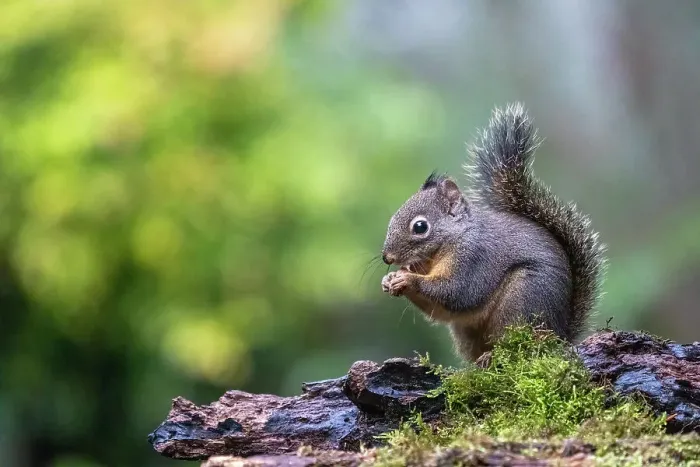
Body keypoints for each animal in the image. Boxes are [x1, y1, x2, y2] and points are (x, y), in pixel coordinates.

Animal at [380, 103, 606, 363]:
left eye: (420, 227)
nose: (387, 258)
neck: (453, 239)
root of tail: (560, 335)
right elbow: (440, 309)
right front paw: (389, 279)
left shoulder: (474, 257)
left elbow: (457, 291)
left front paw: (406, 278)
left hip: (521, 301)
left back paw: (495, 355)